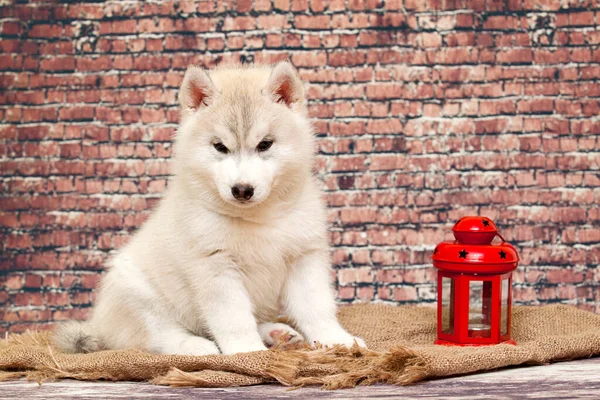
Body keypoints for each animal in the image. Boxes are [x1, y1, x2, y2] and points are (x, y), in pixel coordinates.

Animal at [54, 62, 366, 356]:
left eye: (265, 144)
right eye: (220, 147)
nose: (242, 189)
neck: (258, 218)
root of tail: (99, 325)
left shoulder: (304, 258)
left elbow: (317, 308)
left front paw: (336, 339)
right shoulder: (216, 268)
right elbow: (234, 319)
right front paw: (247, 352)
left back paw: (276, 333)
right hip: (137, 293)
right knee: (158, 335)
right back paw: (194, 345)